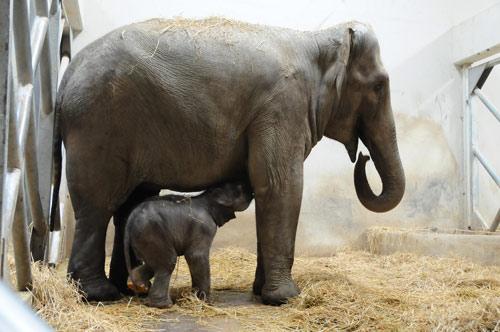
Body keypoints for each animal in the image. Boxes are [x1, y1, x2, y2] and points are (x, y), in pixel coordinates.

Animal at [123, 182, 252, 308]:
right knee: (167, 263)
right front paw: (204, 301)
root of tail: (130, 218)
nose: (251, 190)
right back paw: (164, 305)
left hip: (144, 237)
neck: (207, 197)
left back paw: (138, 286)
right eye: (240, 187)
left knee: (154, 263)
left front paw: (195, 296)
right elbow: (196, 256)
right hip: (152, 232)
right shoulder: (204, 226)